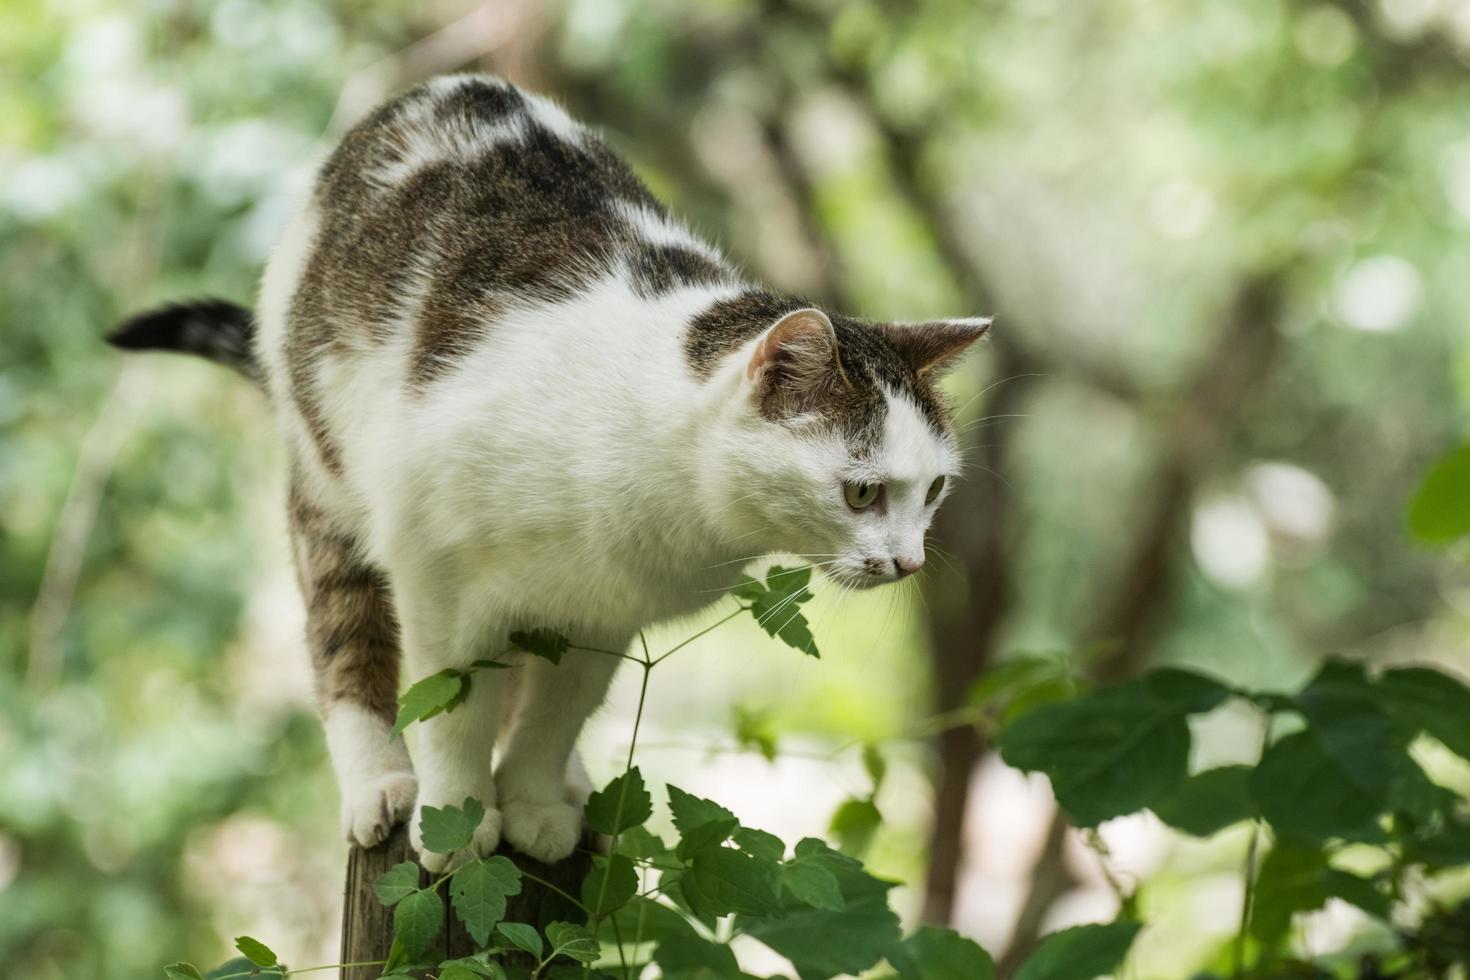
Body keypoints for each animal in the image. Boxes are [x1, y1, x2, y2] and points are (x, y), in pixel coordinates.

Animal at [108, 78, 993, 875]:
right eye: (863, 490)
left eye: (933, 491)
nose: (909, 560)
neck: (678, 505)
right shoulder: (438, 580)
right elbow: (453, 709)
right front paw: (459, 817)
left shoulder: (603, 613)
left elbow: (553, 715)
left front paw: (531, 803)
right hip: (329, 482)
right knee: (345, 642)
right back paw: (381, 786)